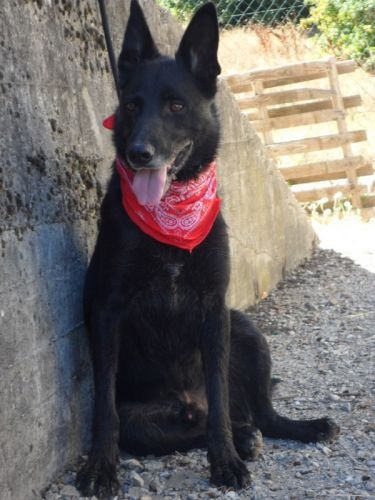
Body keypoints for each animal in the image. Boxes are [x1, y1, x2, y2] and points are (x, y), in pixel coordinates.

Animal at [77, 2, 340, 496]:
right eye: (131, 105)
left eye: (176, 105)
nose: (139, 153)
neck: (170, 216)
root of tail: (186, 403)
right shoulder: (108, 311)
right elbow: (103, 404)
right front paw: (101, 465)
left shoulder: (215, 310)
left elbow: (218, 394)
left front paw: (225, 462)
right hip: (147, 422)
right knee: (197, 427)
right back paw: (243, 436)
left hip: (247, 331)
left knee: (258, 414)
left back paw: (296, 428)